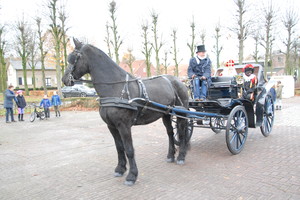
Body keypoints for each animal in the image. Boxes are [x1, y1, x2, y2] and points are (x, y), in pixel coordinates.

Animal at [62, 38, 190, 185]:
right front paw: (120, 168)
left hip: (180, 113)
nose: (64, 79)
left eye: (73, 58)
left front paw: (132, 176)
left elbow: (129, 149)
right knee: (170, 133)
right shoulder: (111, 126)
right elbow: (119, 147)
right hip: (166, 114)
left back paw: (181, 156)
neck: (115, 88)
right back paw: (170, 155)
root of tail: (179, 81)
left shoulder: (124, 126)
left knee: (182, 132)